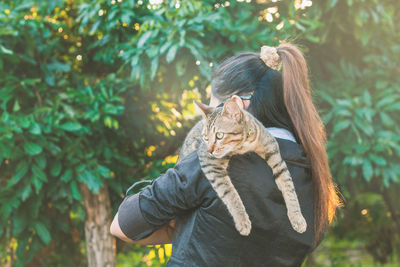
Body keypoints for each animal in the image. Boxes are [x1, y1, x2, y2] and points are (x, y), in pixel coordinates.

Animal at [178, 99, 306, 237]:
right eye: (205, 138)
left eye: (219, 135)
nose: (209, 150)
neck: (244, 144)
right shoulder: (210, 163)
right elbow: (230, 193)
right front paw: (242, 220)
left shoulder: (274, 153)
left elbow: (289, 186)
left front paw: (297, 217)